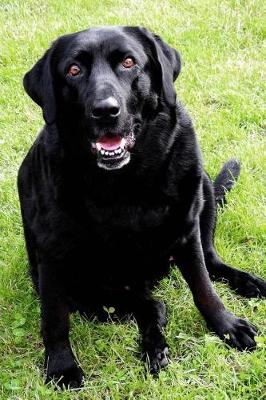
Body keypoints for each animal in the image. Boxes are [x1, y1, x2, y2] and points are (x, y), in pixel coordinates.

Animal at [18, 26, 266, 390]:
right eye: (73, 70)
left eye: (128, 62)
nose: (105, 110)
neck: (125, 181)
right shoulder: (52, 257)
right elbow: (54, 319)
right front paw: (61, 366)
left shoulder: (186, 229)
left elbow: (204, 287)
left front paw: (226, 325)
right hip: (95, 295)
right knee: (152, 307)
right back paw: (154, 347)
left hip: (204, 188)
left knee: (211, 262)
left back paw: (248, 283)